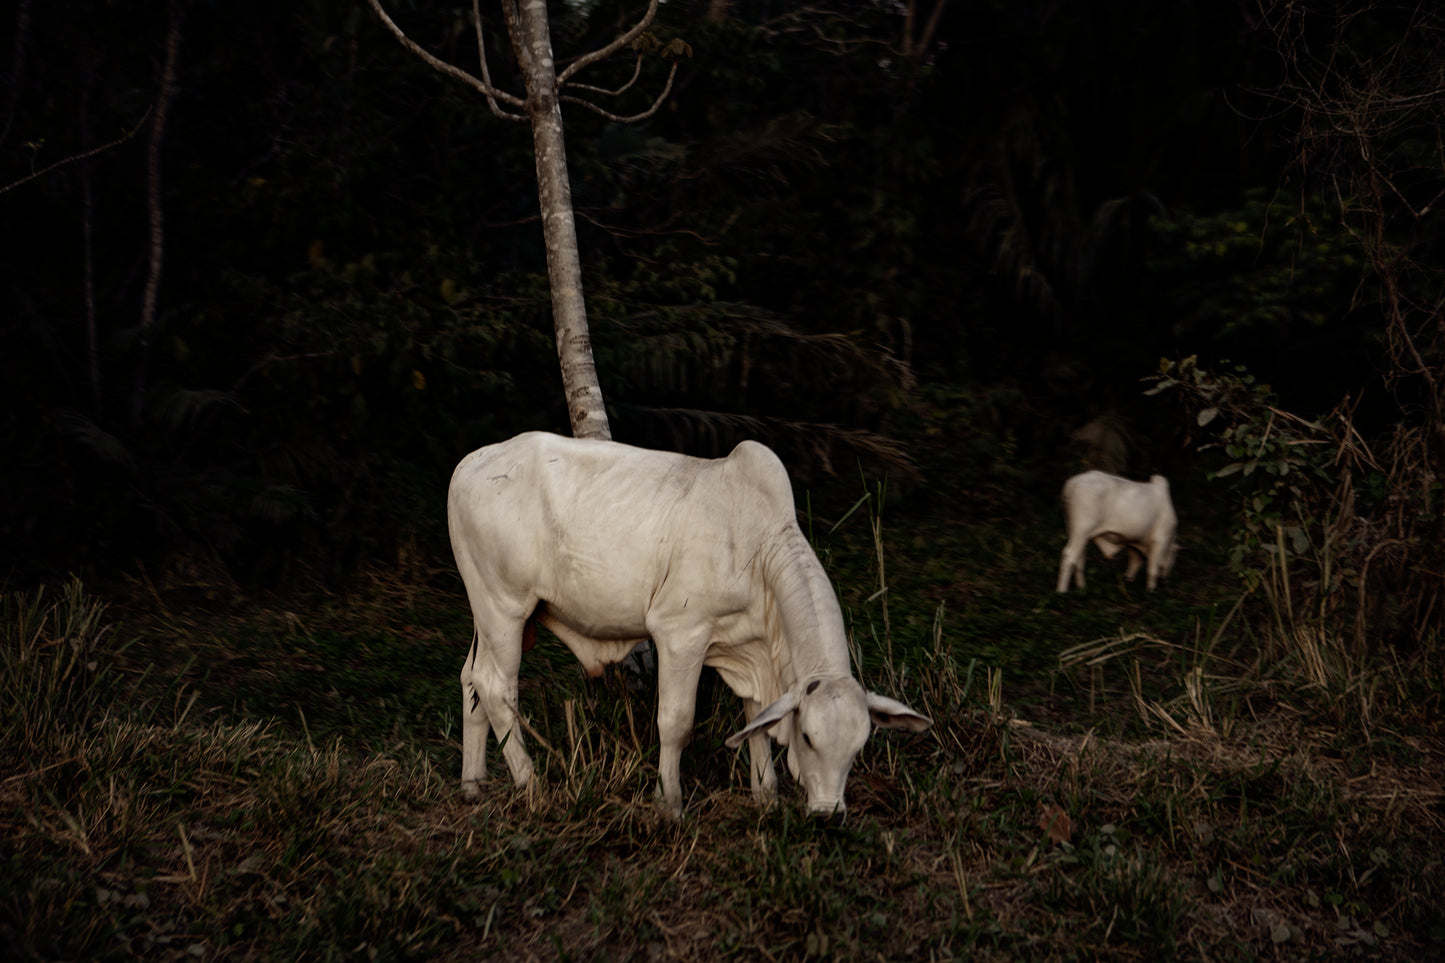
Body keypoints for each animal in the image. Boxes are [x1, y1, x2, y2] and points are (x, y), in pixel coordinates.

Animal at [446, 431, 932, 818]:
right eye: (810, 738)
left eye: (859, 746)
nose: (829, 812)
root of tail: (471, 462)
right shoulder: (680, 633)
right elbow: (676, 722)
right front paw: (669, 803)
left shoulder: (748, 646)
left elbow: (754, 717)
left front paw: (766, 795)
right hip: (505, 607)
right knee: (496, 687)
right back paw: (532, 786)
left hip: (487, 612)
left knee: (471, 678)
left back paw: (473, 784)